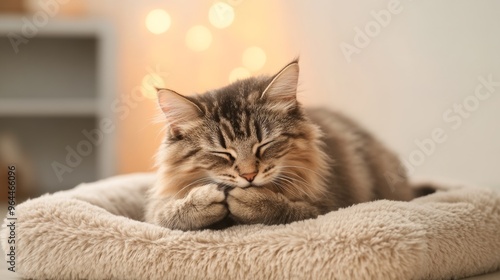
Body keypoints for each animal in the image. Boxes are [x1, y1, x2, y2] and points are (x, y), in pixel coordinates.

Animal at [146, 59, 426, 232]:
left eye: (264, 145)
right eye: (222, 153)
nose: (249, 176)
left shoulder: (330, 204)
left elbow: (288, 210)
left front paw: (252, 201)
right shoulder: (156, 209)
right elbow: (166, 213)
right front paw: (204, 199)